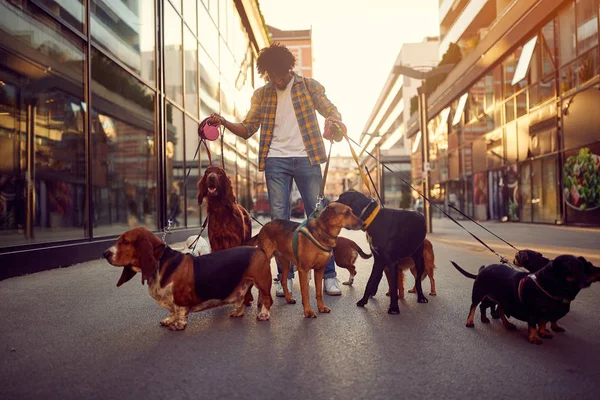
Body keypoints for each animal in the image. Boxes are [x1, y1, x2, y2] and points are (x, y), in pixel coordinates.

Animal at [103, 227, 272, 330]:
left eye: (125, 241)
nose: (105, 253)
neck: (161, 263)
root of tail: (259, 249)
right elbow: (172, 310)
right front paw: (169, 320)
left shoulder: (180, 298)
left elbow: (180, 310)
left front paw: (178, 324)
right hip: (244, 284)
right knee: (245, 298)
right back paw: (238, 312)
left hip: (262, 283)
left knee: (267, 300)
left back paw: (264, 314)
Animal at [452, 256, 588, 344]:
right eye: (570, 266)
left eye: (582, 266)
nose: (587, 281)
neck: (544, 285)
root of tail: (482, 270)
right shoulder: (533, 311)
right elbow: (532, 324)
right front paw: (534, 337)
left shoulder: (545, 312)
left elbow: (543, 322)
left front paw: (543, 332)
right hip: (478, 293)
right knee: (474, 306)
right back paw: (470, 321)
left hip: (503, 299)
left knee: (498, 310)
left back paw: (505, 323)